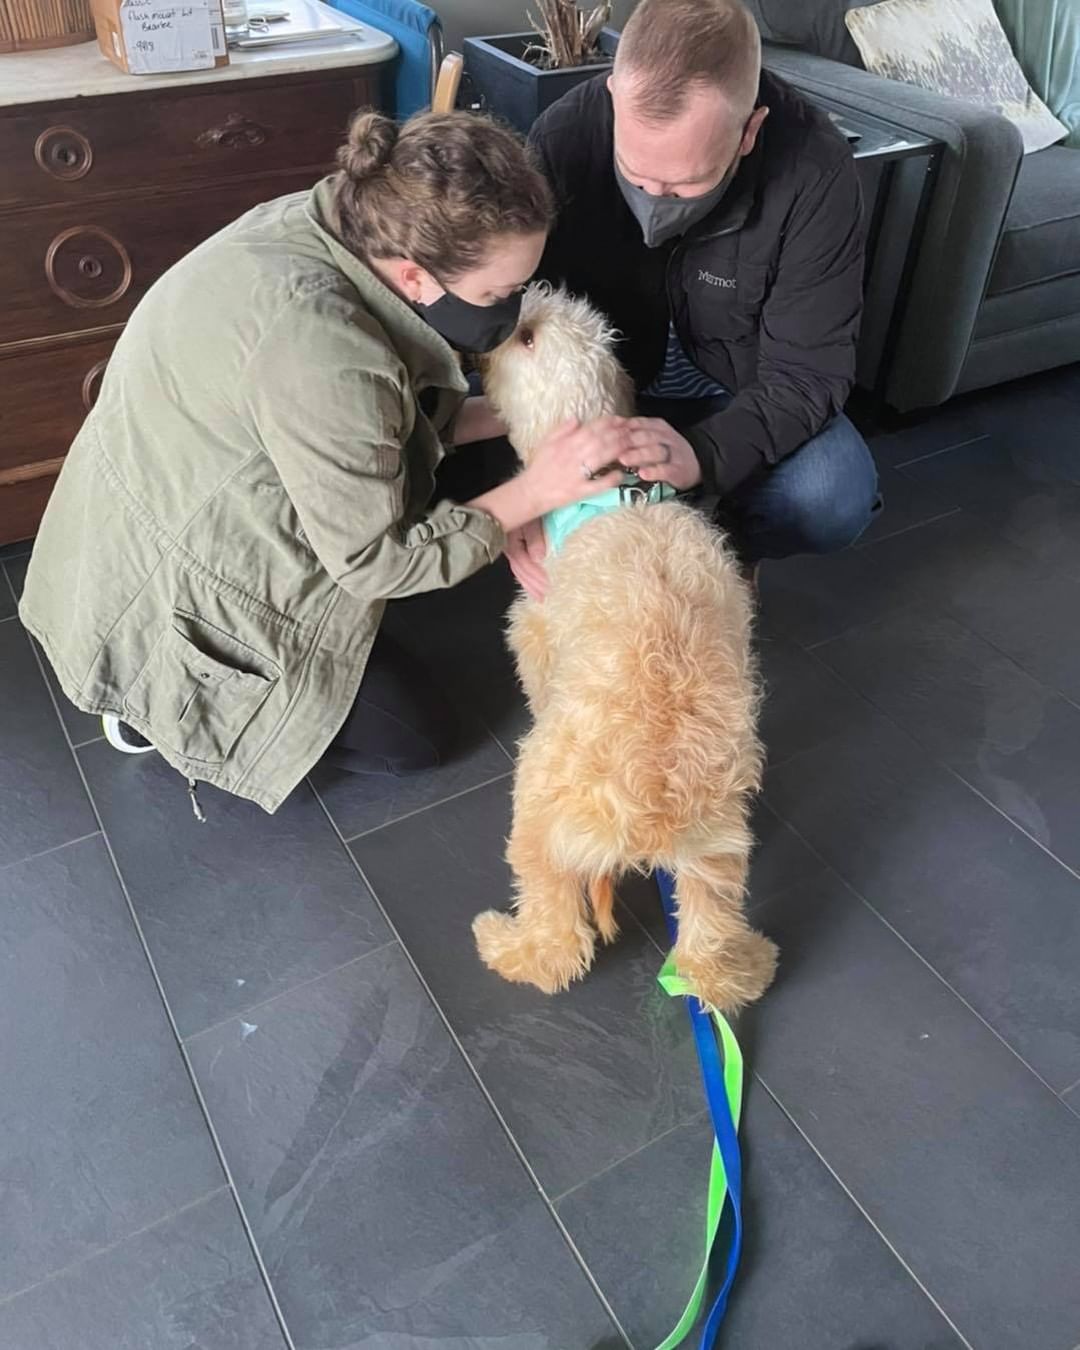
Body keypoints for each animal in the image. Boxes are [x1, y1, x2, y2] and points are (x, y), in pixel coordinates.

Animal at [469, 284, 777, 1015]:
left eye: (525, 336)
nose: (479, 345)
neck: (612, 479)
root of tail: (649, 821)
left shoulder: (534, 621)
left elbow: (535, 665)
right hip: (716, 852)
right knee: (707, 960)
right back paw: (750, 963)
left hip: (539, 823)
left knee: (558, 946)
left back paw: (504, 943)